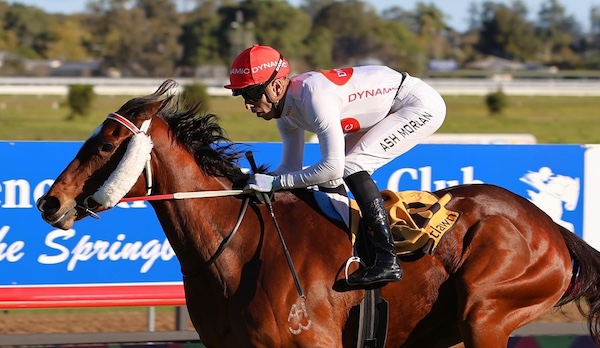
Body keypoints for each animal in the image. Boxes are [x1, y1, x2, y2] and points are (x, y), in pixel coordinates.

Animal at [36, 79, 600, 348]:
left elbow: (334, 162)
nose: (49, 202)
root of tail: (551, 227)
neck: (236, 252)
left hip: (486, 314)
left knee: (353, 164)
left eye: (108, 144)